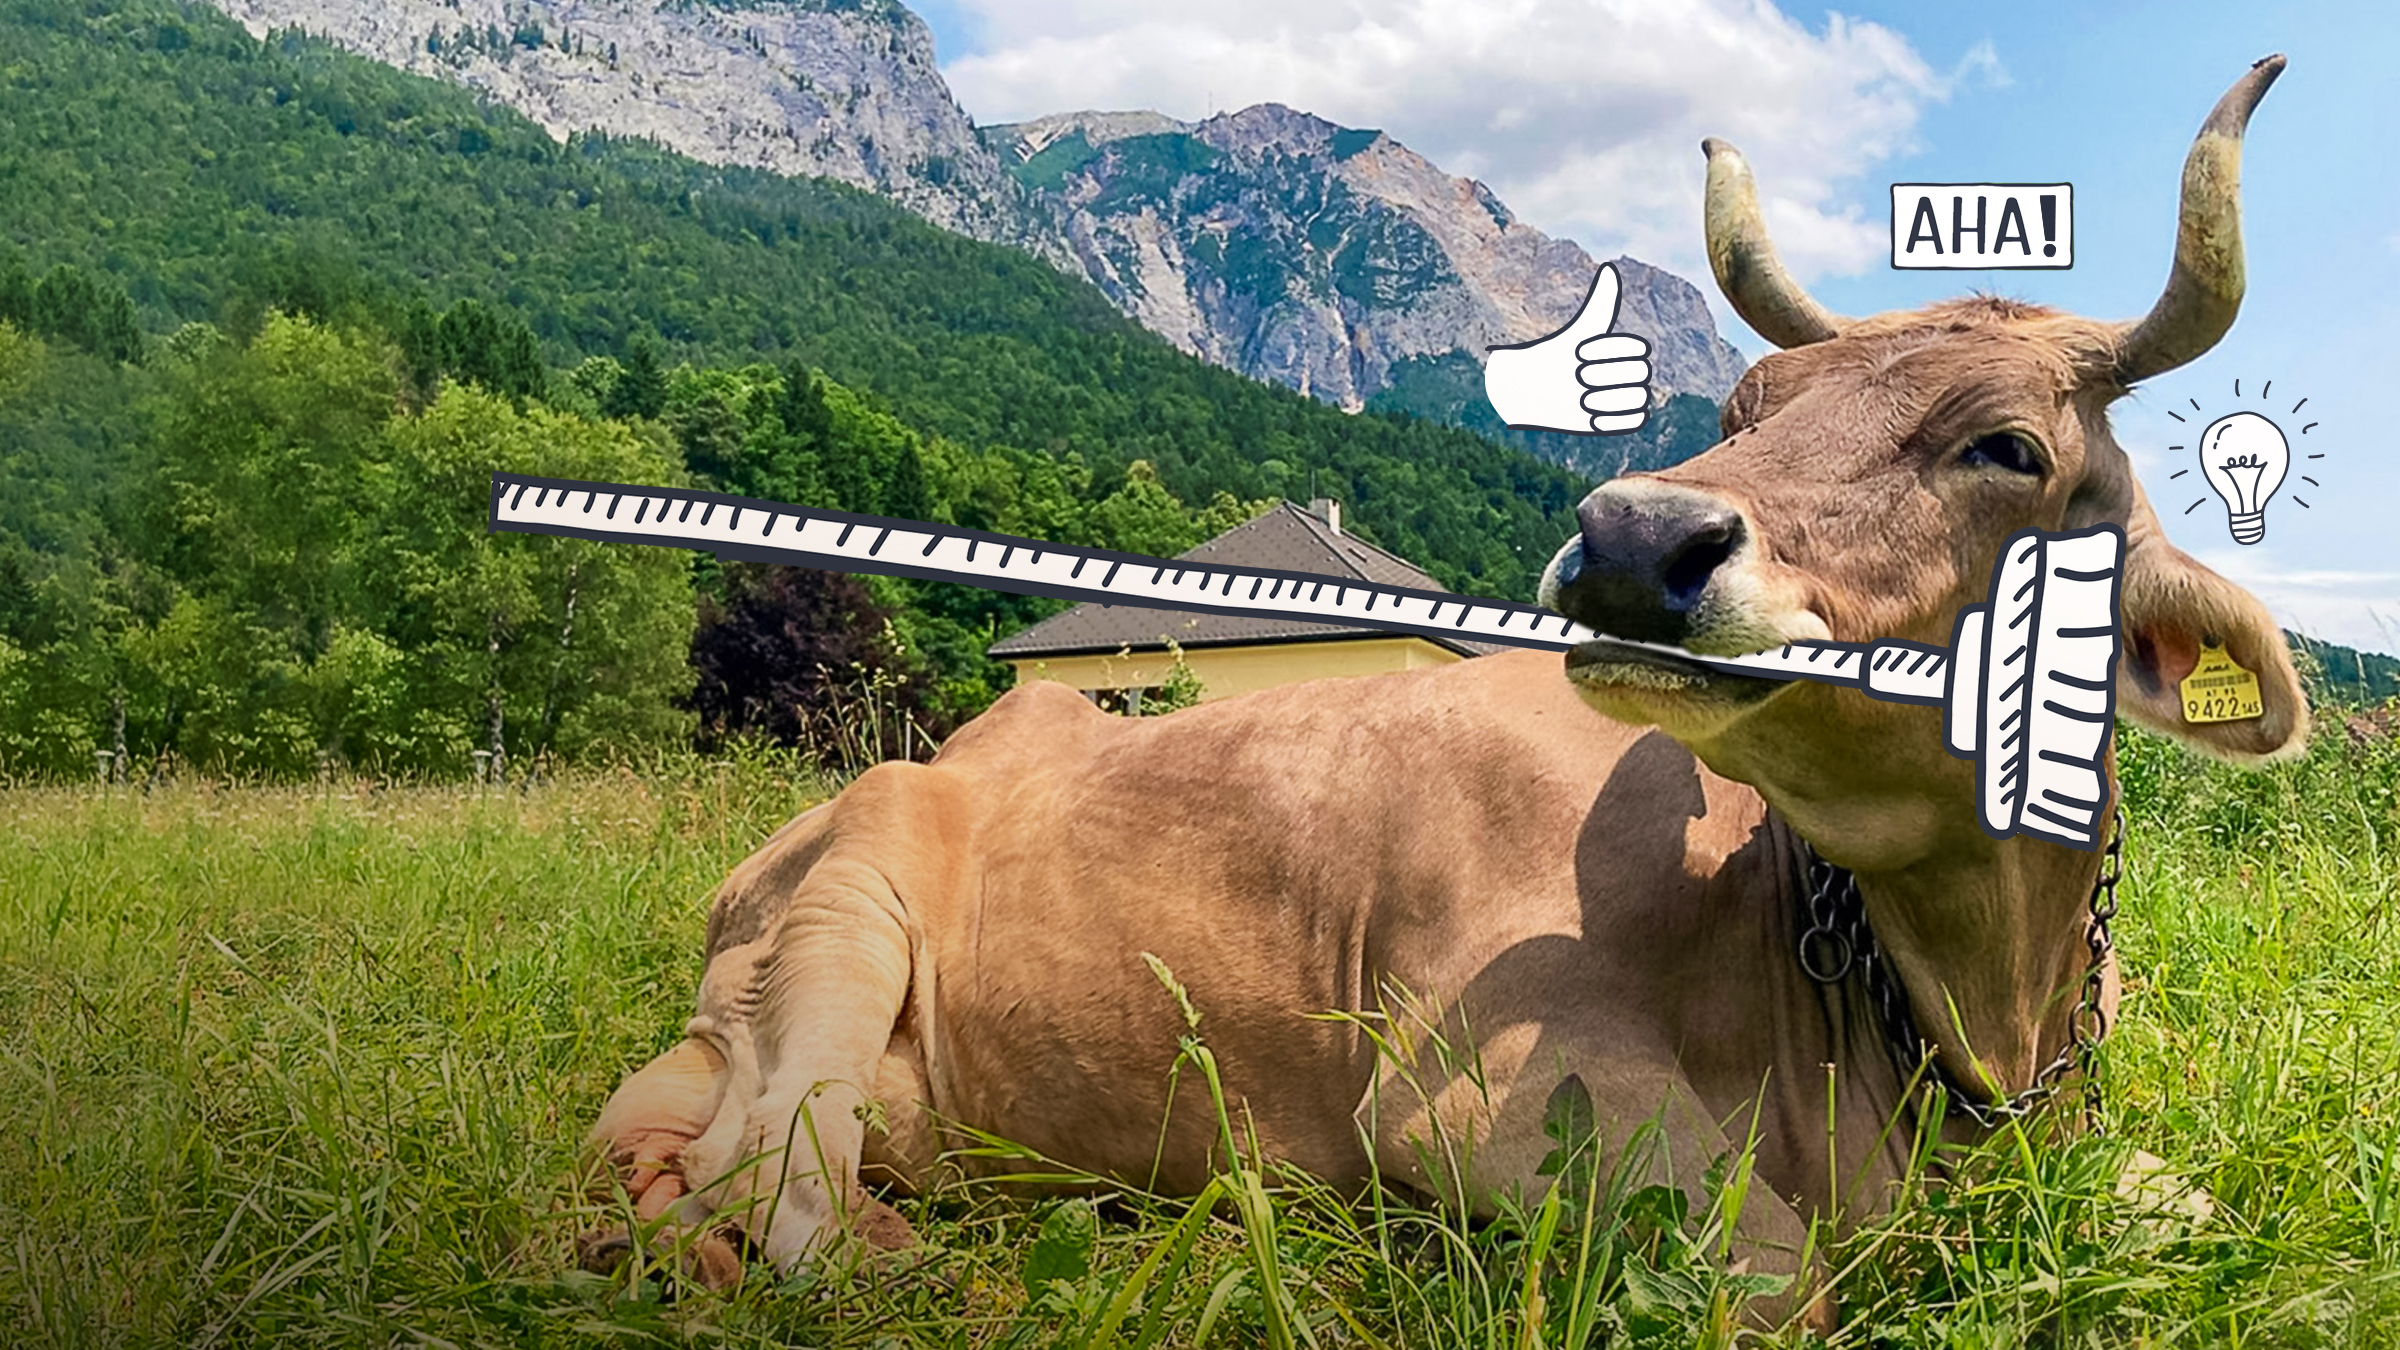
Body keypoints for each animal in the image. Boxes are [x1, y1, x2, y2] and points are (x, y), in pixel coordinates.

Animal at [577, 57, 2305, 1317]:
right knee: (777, 1198)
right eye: (1745, 404)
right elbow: (1781, 1280)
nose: (1633, 537)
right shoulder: (1481, 1100)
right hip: (843, 916)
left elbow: (2207, 1204)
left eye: (2006, 445)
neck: (1968, 1023)